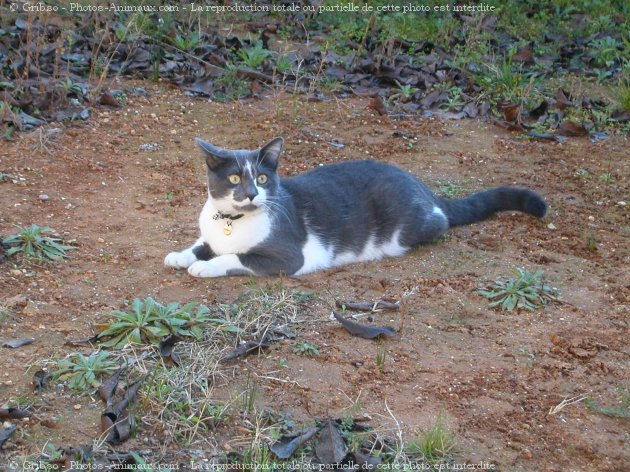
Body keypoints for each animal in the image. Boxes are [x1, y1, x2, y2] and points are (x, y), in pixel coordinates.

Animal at [164, 136, 548, 276]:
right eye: (233, 179)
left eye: (261, 178)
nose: (251, 195)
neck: (232, 221)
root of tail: (422, 186)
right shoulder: (212, 233)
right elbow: (201, 245)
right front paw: (181, 256)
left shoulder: (287, 257)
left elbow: (235, 258)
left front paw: (203, 267)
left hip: (406, 225)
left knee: (437, 223)